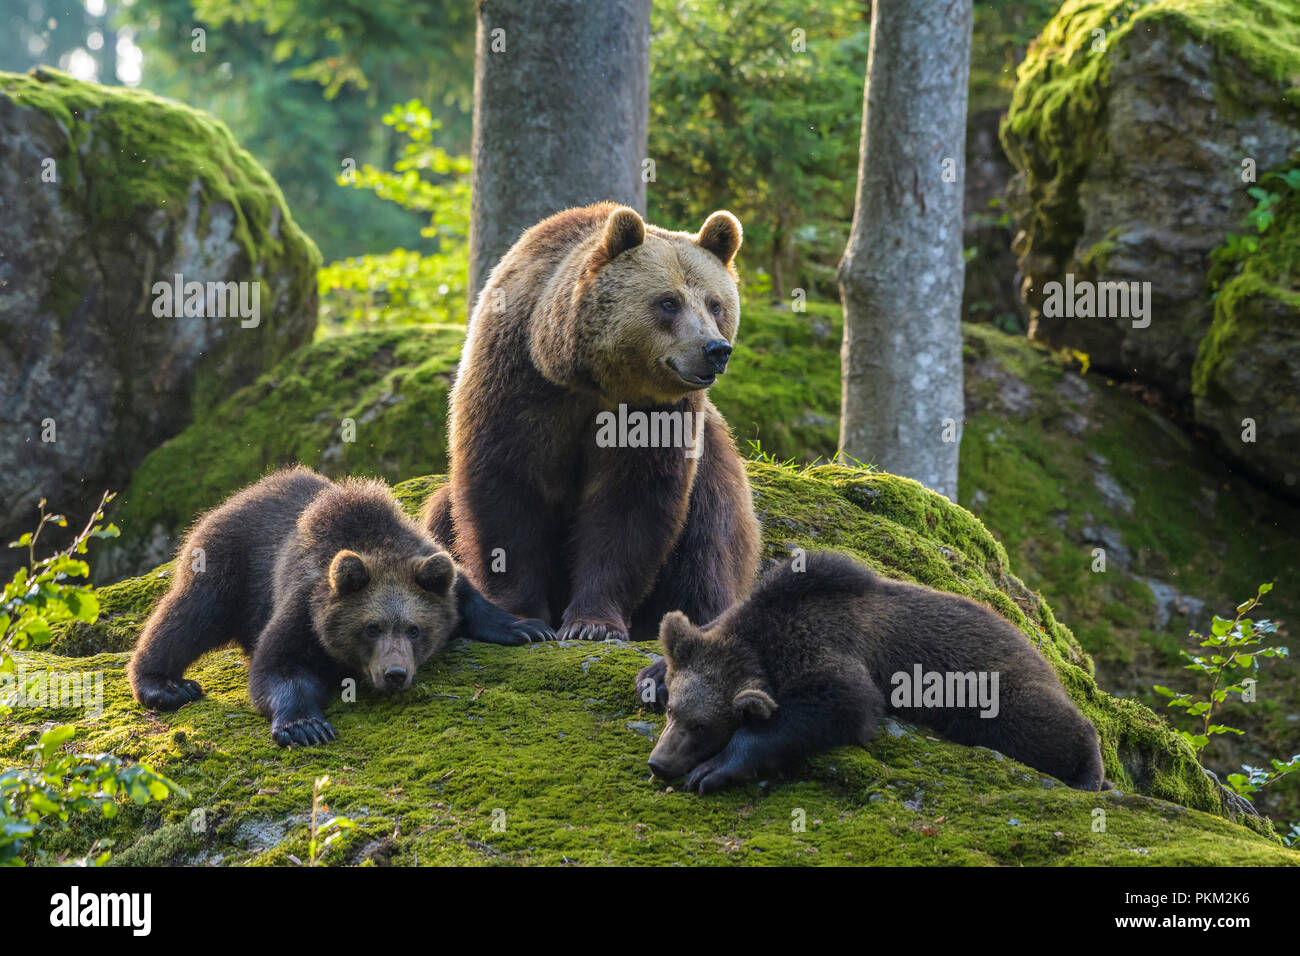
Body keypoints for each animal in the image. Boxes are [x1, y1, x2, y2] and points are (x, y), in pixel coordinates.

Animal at [128, 467, 551, 746]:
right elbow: (278, 666)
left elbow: (467, 593)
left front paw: (526, 626)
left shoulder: (429, 564)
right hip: (226, 562)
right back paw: (167, 685)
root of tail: (245, 491)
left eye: (414, 629)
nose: (395, 673)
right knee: (189, 614)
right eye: (372, 627)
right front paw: (304, 725)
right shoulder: (304, 608)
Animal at [422, 202, 760, 691]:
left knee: (708, 547)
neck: (590, 381)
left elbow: (628, 507)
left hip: (717, 482)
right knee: (438, 517)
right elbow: (506, 492)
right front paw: (524, 620)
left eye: (716, 304)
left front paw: (592, 624)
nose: (715, 349)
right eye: (668, 302)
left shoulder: (654, 418)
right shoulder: (519, 384)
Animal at [645, 551, 1106, 794]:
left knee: (1048, 725)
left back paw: (1090, 772)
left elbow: (844, 705)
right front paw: (652, 674)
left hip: (995, 692)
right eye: (673, 713)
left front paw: (713, 769)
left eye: (702, 726)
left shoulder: (829, 650)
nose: (659, 763)